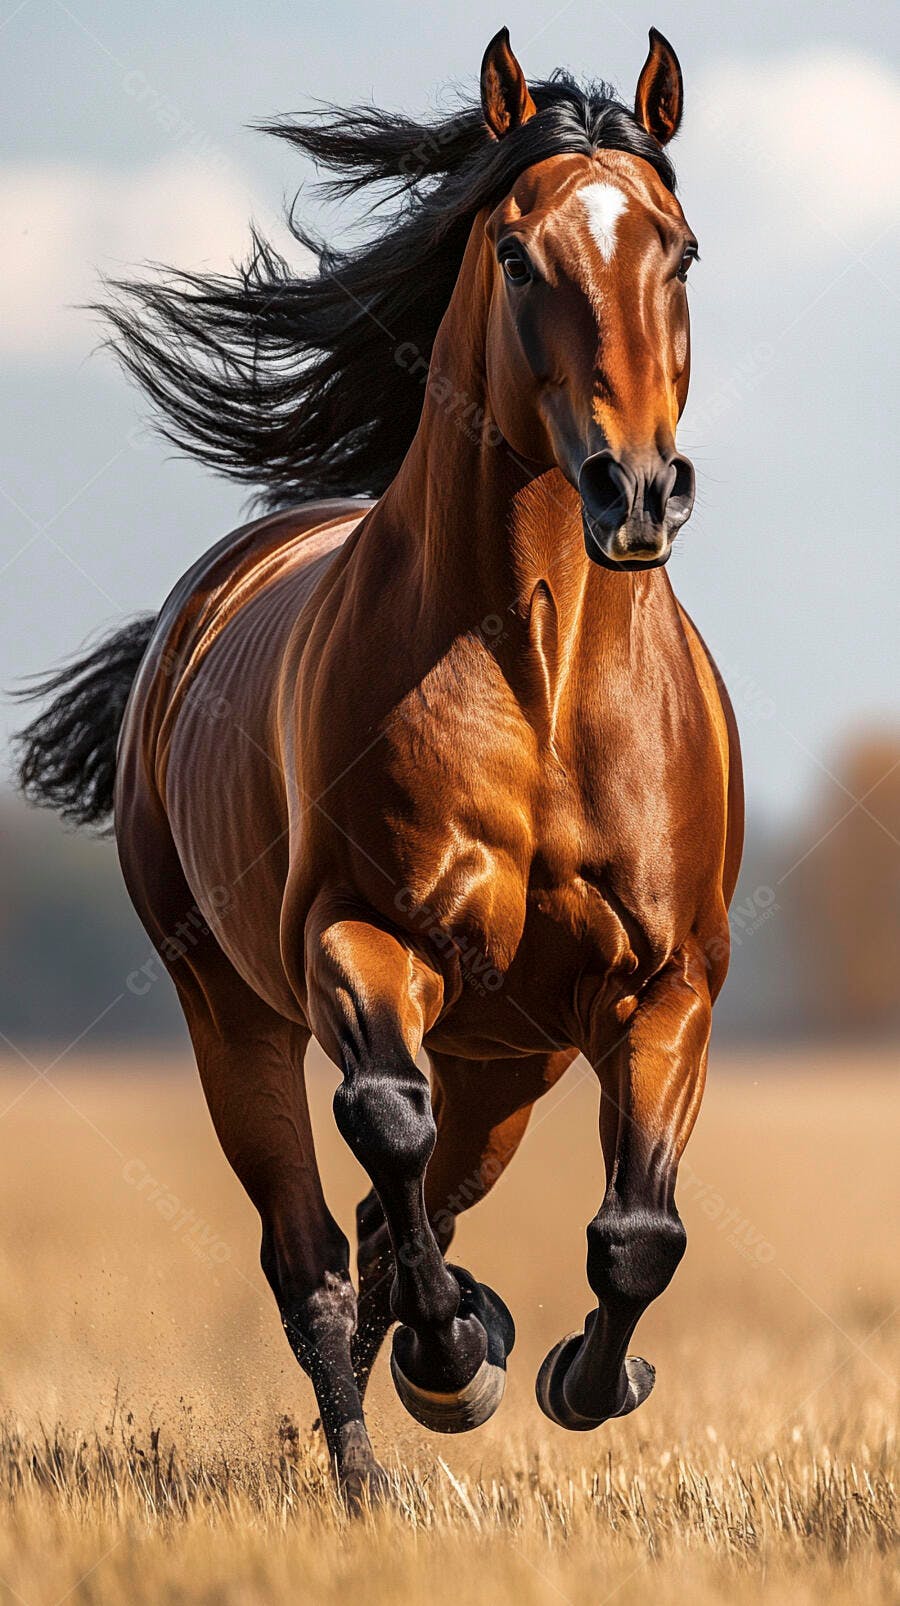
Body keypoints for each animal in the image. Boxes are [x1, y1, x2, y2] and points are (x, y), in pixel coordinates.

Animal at [16, 28, 743, 1503]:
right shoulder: (360, 935)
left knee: (405, 1206)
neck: (541, 675)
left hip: (513, 1059)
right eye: (517, 254)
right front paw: (458, 1358)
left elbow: (640, 1229)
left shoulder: (668, 980)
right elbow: (384, 1127)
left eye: (681, 252)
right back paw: (378, 1449)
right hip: (231, 1011)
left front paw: (577, 1372)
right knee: (316, 1248)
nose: (636, 491)